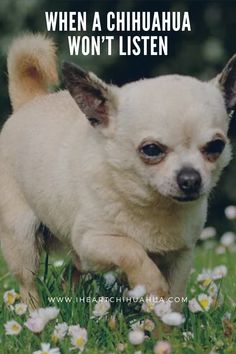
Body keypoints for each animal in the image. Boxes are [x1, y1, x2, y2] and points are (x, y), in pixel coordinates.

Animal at [0, 34, 233, 308]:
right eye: (151, 150)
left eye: (216, 146)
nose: (190, 179)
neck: (154, 206)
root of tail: (29, 102)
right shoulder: (93, 241)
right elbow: (131, 250)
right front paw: (152, 284)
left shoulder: (181, 257)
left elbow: (172, 302)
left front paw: (164, 320)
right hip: (22, 240)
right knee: (28, 285)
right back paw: (34, 313)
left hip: (77, 258)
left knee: (71, 274)